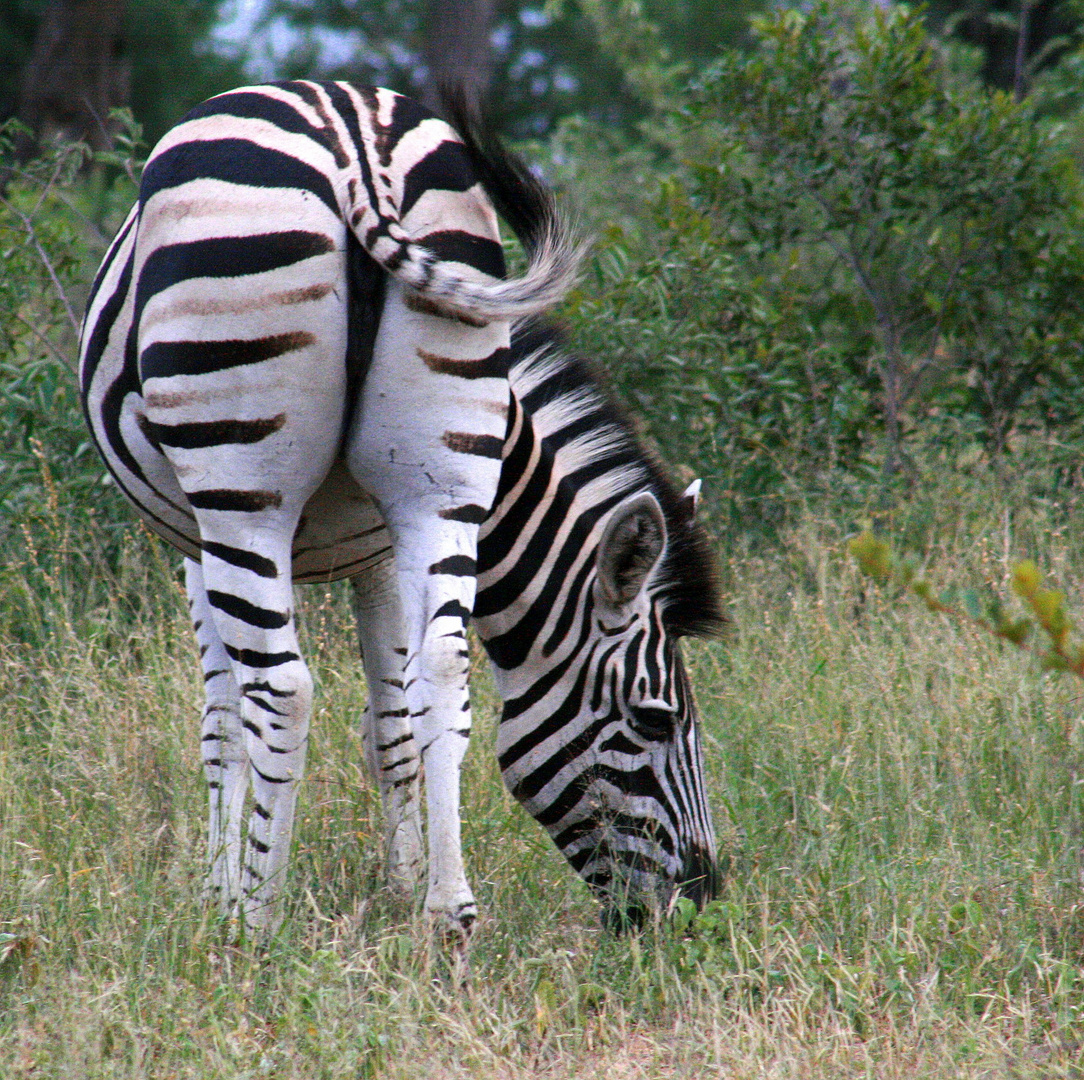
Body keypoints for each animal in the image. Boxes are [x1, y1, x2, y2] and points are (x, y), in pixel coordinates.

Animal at [76, 82, 724, 936]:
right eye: (656, 718)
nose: (700, 905)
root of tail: (355, 144)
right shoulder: (378, 544)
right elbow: (392, 718)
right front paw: (402, 884)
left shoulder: (204, 537)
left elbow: (227, 715)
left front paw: (223, 895)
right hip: (436, 475)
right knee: (444, 671)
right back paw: (448, 916)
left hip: (243, 491)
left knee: (282, 691)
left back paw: (256, 925)